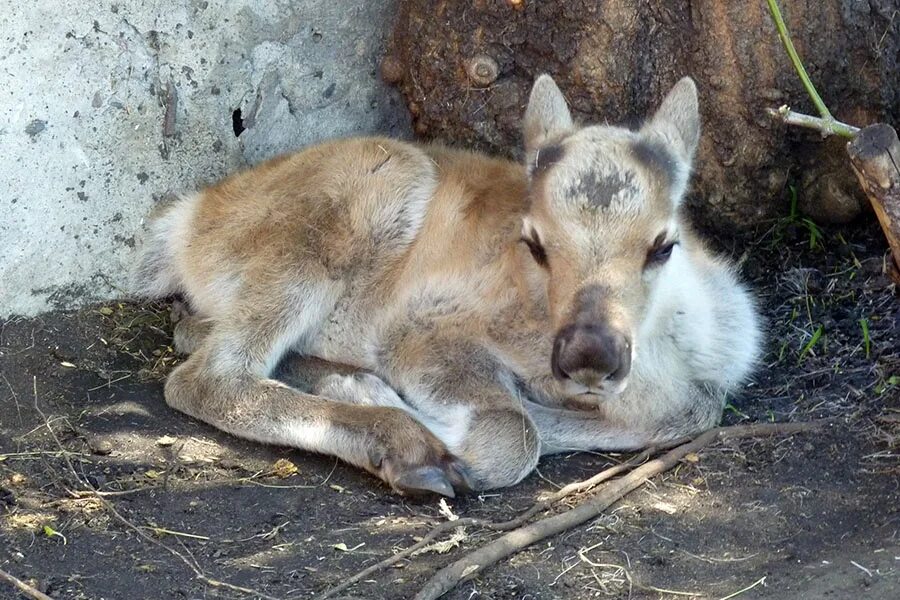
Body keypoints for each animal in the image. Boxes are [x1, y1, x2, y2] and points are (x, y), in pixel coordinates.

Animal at [134, 75, 764, 496]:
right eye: (534, 241)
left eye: (662, 244)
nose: (589, 355)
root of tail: (187, 216)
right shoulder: (421, 331)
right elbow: (515, 433)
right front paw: (415, 426)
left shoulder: (687, 398)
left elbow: (690, 413)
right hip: (365, 194)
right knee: (203, 376)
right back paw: (404, 444)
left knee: (195, 335)